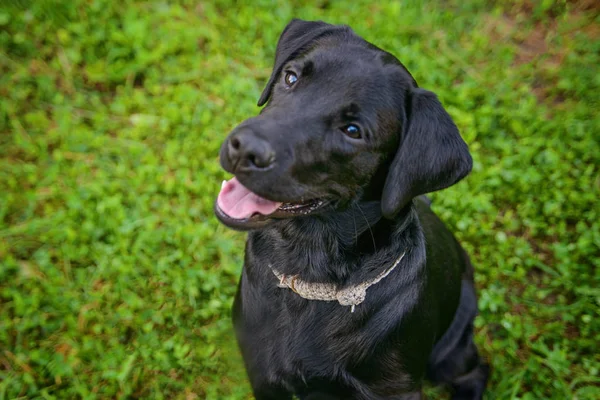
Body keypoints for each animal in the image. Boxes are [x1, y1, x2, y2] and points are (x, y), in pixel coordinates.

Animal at [216, 19, 488, 400]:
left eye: (353, 130)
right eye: (291, 77)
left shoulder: (393, 390)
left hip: (450, 353)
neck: (309, 271)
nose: (243, 148)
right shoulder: (263, 374)